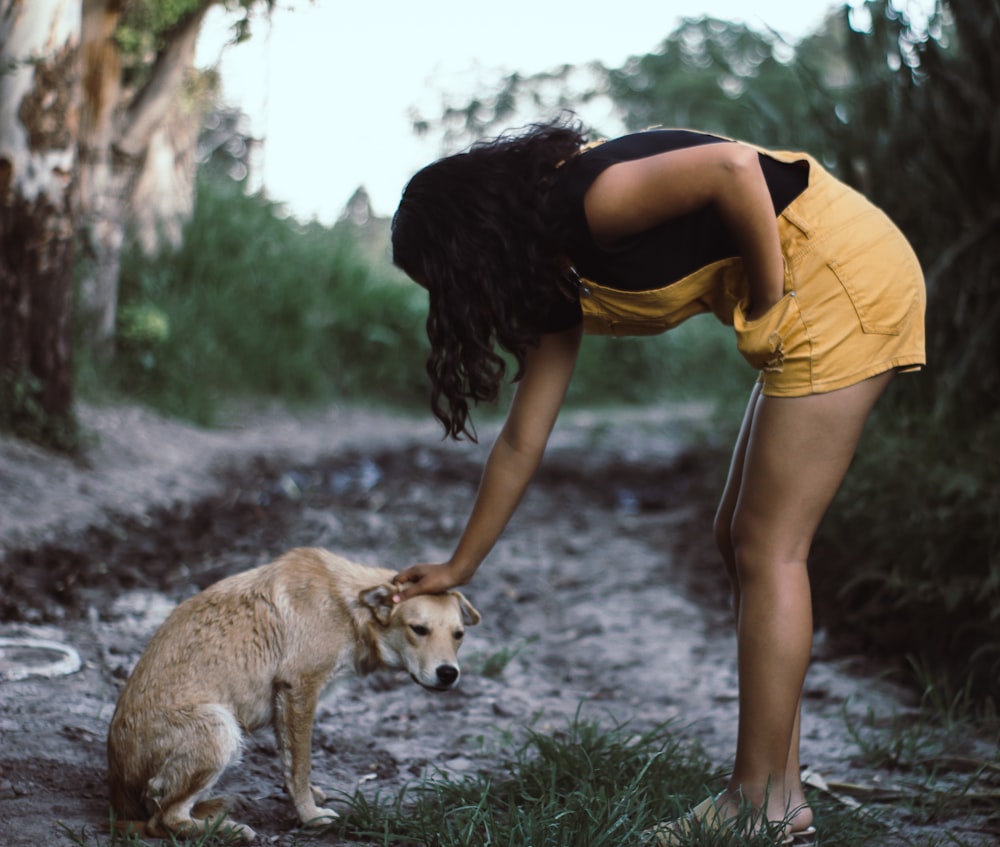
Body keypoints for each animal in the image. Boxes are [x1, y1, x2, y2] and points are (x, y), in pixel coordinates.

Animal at [107, 548, 482, 840]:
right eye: (418, 629)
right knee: (164, 821)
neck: (349, 608)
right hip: (220, 728)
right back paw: (228, 831)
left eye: (459, 635)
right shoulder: (300, 688)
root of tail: (118, 792)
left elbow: (290, 763)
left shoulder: (284, 700)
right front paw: (310, 816)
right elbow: (301, 765)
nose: (448, 674)